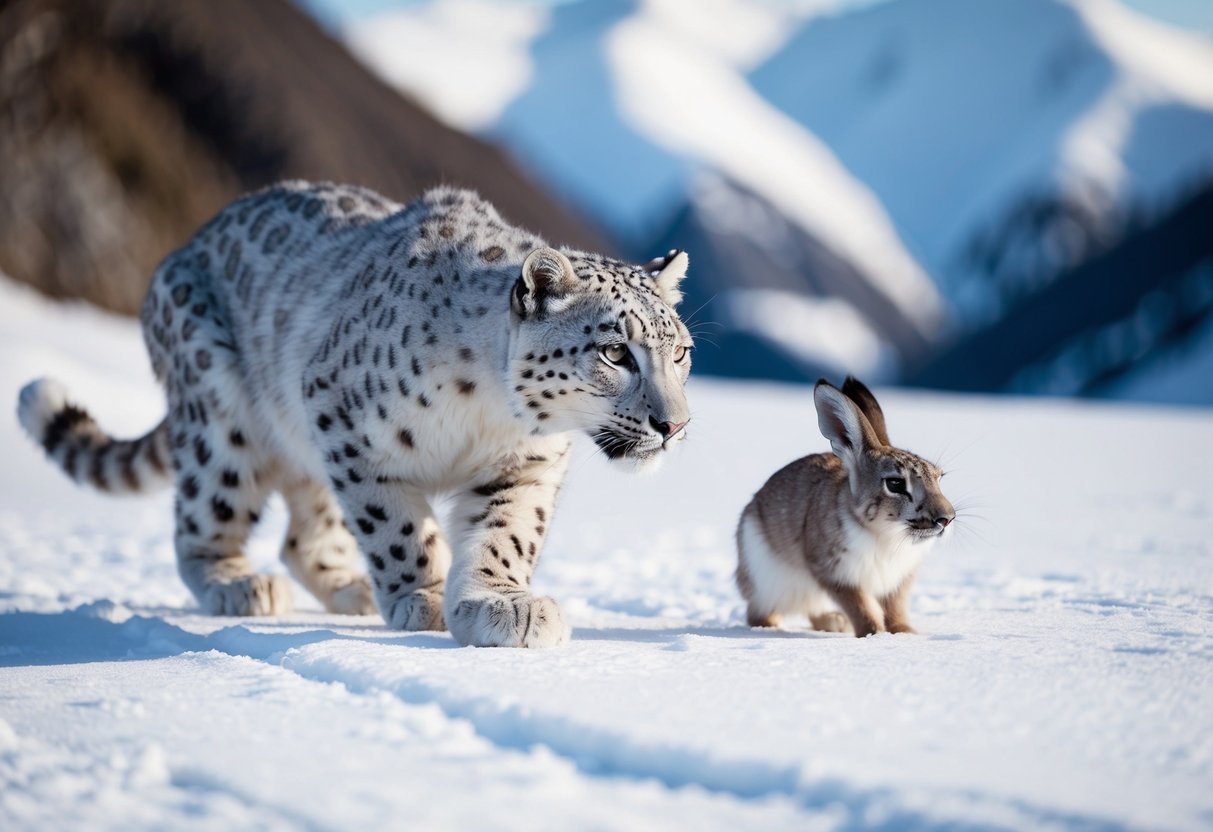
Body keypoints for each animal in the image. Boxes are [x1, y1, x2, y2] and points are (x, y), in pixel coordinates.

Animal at [17, 181, 694, 647]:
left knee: (303, 534)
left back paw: (351, 588)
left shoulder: (524, 466)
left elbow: (507, 532)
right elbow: (396, 527)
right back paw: (240, 584)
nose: (674, 426)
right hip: (222, 418)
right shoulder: (348, 427)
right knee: (203, 520)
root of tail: (180, 250)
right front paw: (423, 595)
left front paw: (500, 604)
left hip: (307, 454)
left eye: (681, 351)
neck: (491, 413)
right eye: (615, 351)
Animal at [735, 377, 955, 637]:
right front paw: (874, 635)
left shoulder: (898, 580)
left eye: (939, 478)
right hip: (765, 577)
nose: (947, 518)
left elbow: (894, 608)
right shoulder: (835, 573)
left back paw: (835, 622)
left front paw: (904, 633)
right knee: (759, 612)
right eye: (895, 484)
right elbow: (860, 607)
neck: (884, 533)